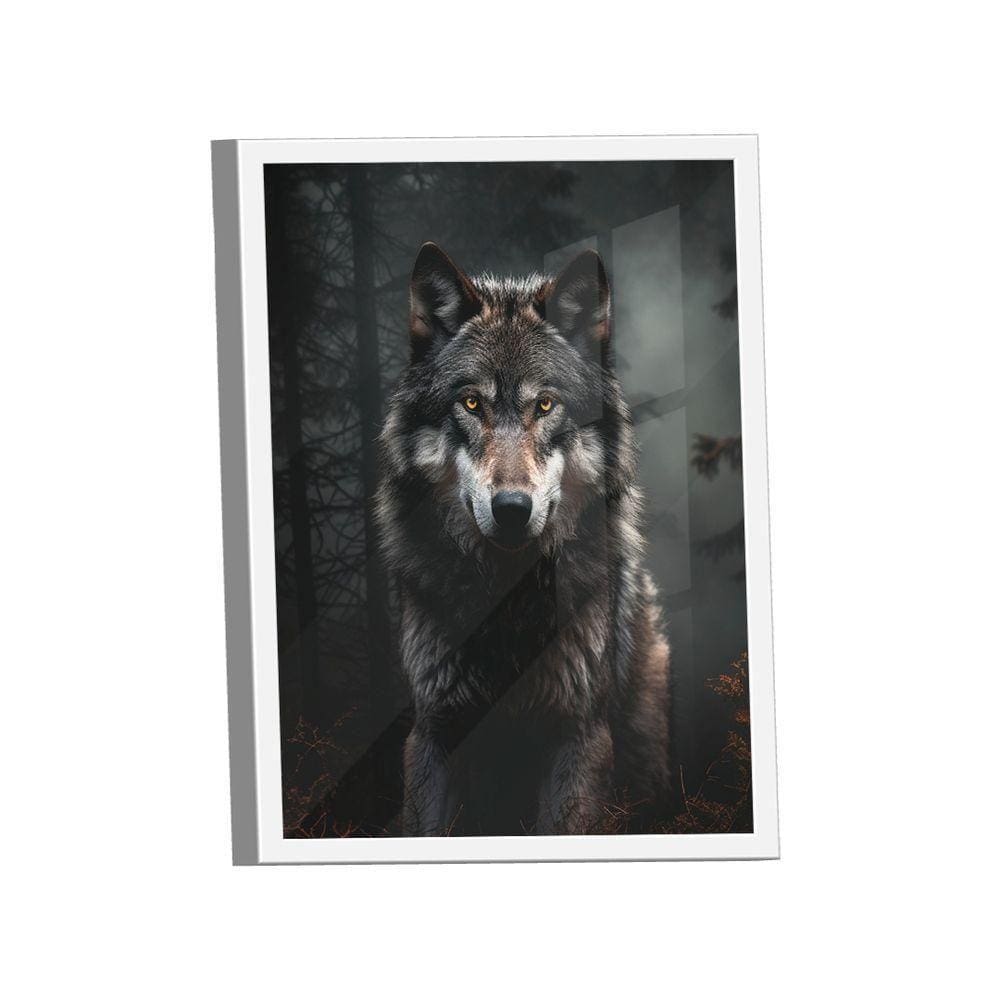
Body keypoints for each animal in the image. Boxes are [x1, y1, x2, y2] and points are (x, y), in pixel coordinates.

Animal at [375, 242, 671, 836]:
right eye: (471, 404)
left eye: (545, 405)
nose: (512, 509)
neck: (506, 603)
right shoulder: (434, 730)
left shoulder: (578, 733)